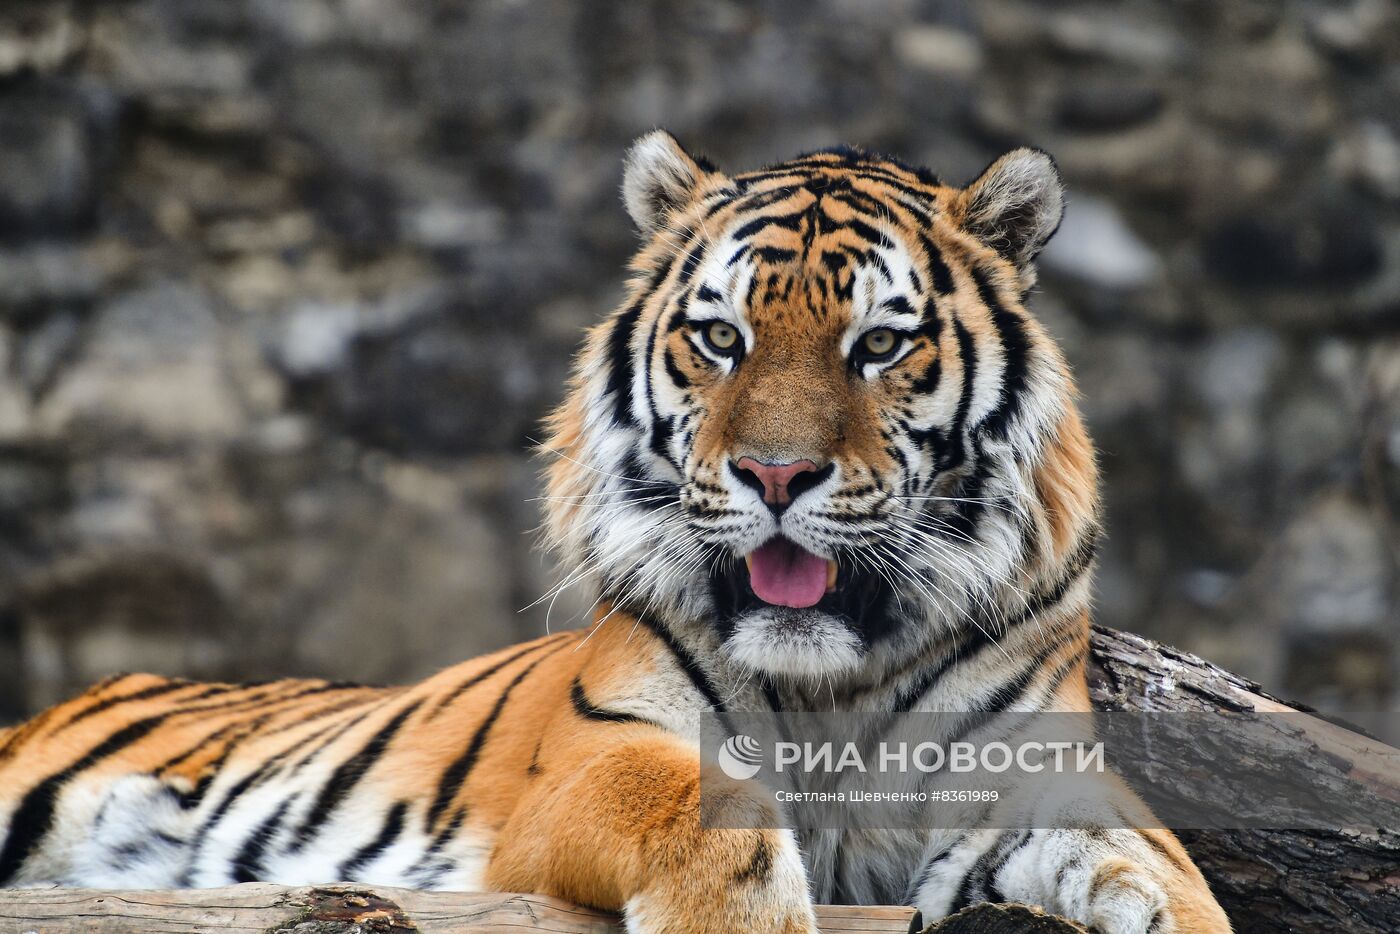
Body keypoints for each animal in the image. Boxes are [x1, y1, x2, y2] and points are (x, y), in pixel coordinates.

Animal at [0, 133, 1226, 934]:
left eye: (879, 345)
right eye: (722, 338)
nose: (775, 474)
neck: (829, 682)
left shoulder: (1036, 774)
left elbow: (1158, 866)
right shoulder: (601, 749)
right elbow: (707, 808)